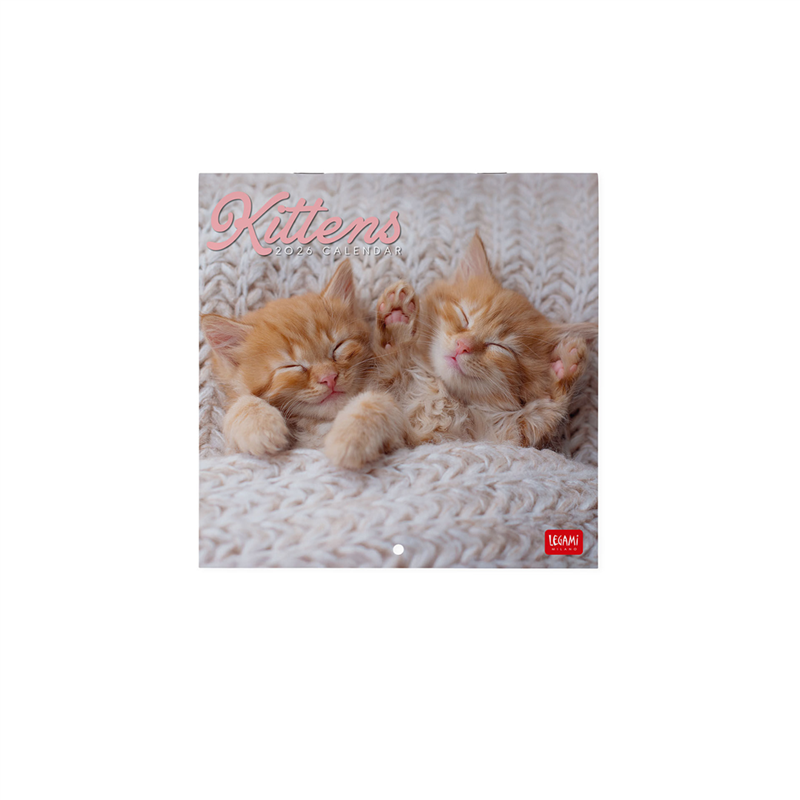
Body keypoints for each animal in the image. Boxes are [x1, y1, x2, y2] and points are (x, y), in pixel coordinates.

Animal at [201, 259, 406, 469]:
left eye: (338, 347)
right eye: (292, 366)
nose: (329, 378)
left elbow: (375, 402)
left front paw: (351, 439)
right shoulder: (231, 454)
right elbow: (243, 402)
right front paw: (259, 427)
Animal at [373, 233, 596, 448]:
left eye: (500, 346)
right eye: (464, 317)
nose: (463, 346)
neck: (442, 392)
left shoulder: (498, 437)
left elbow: (541, 416)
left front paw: (564, 365)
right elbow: (385, 361)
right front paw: (396, 318)